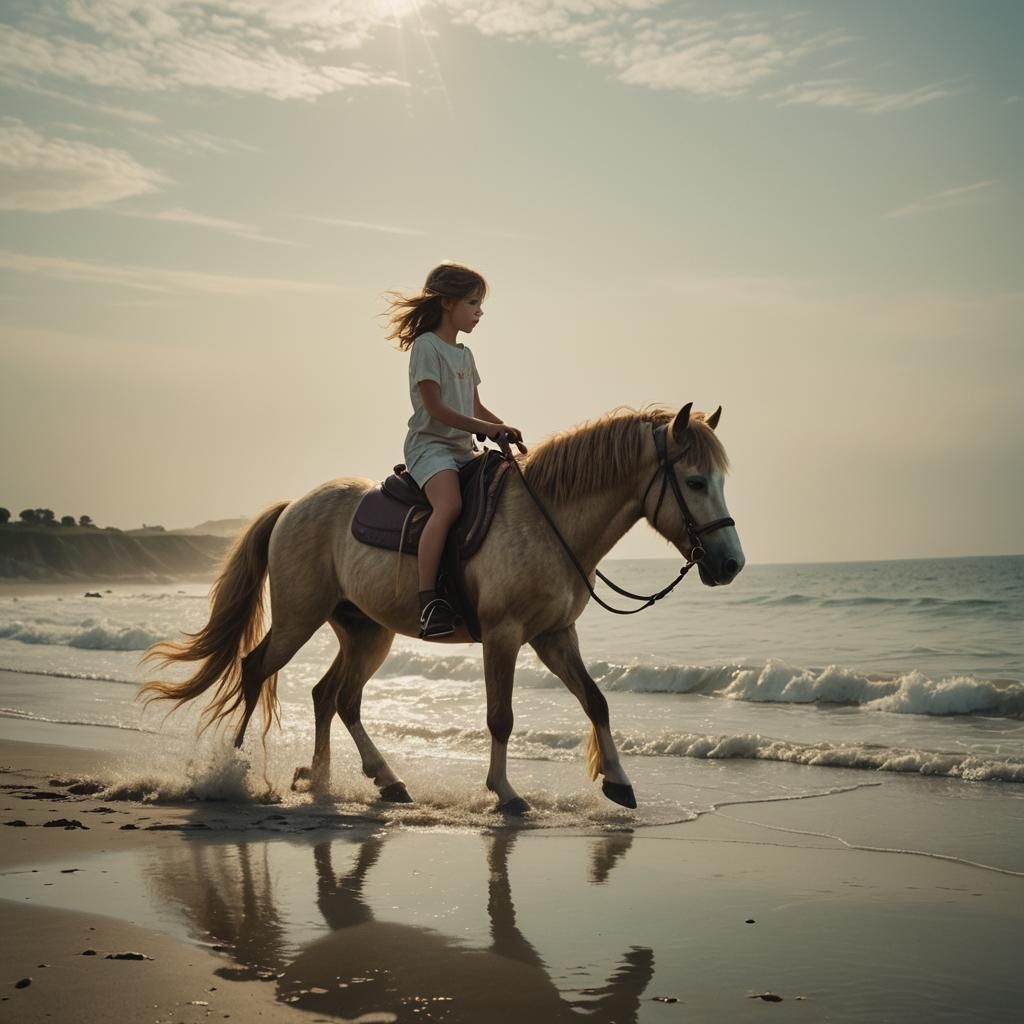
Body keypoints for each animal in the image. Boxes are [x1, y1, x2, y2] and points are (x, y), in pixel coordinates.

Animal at [141, 403, 744, 813]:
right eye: (694, 480)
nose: (731, 563)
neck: (547, 519)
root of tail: (294, 506)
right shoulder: (504, 634)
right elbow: (501, 716)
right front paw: (505, 792)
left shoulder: (555, 635)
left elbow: (596, 701)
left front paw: (619, 781)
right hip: (298, 619)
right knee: (256, 669)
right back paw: (232, 773)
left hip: (366, 631)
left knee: (334, 697)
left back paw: (359, 780)